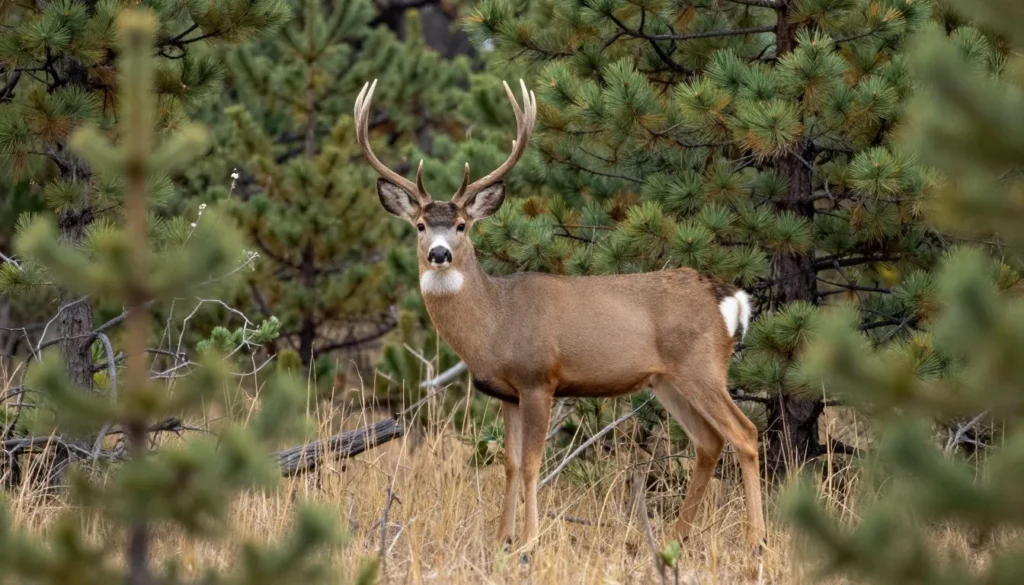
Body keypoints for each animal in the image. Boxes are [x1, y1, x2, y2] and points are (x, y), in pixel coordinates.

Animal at [354, 78, 767, 559]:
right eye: (420, 225)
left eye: (461, 226)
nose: (439, 254)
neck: (495, 322)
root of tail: (728, 296)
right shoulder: (506, 393)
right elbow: (510, 463)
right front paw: (501, 539)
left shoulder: (539, 379)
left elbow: (533, 464)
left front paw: (529, 542)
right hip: (667, 380)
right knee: (709, 442)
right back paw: (674, 539)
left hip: (701, 366)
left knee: (745, 434)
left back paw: (756, 541)